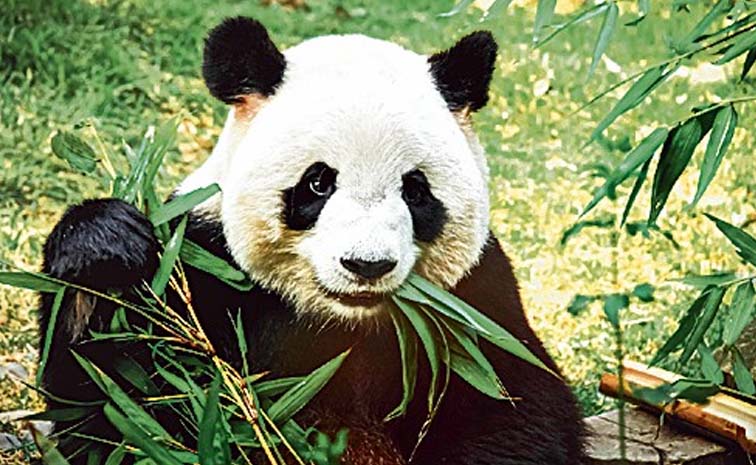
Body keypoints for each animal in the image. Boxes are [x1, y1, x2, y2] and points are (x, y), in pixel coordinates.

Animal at [39, 17, 585, 465]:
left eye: (414, 190)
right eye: (319, 184)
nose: (367, 264)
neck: (344, 320)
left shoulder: (473, 297)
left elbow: (514, 403)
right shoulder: (206, 262)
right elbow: (118, 405)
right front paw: (104, 248)